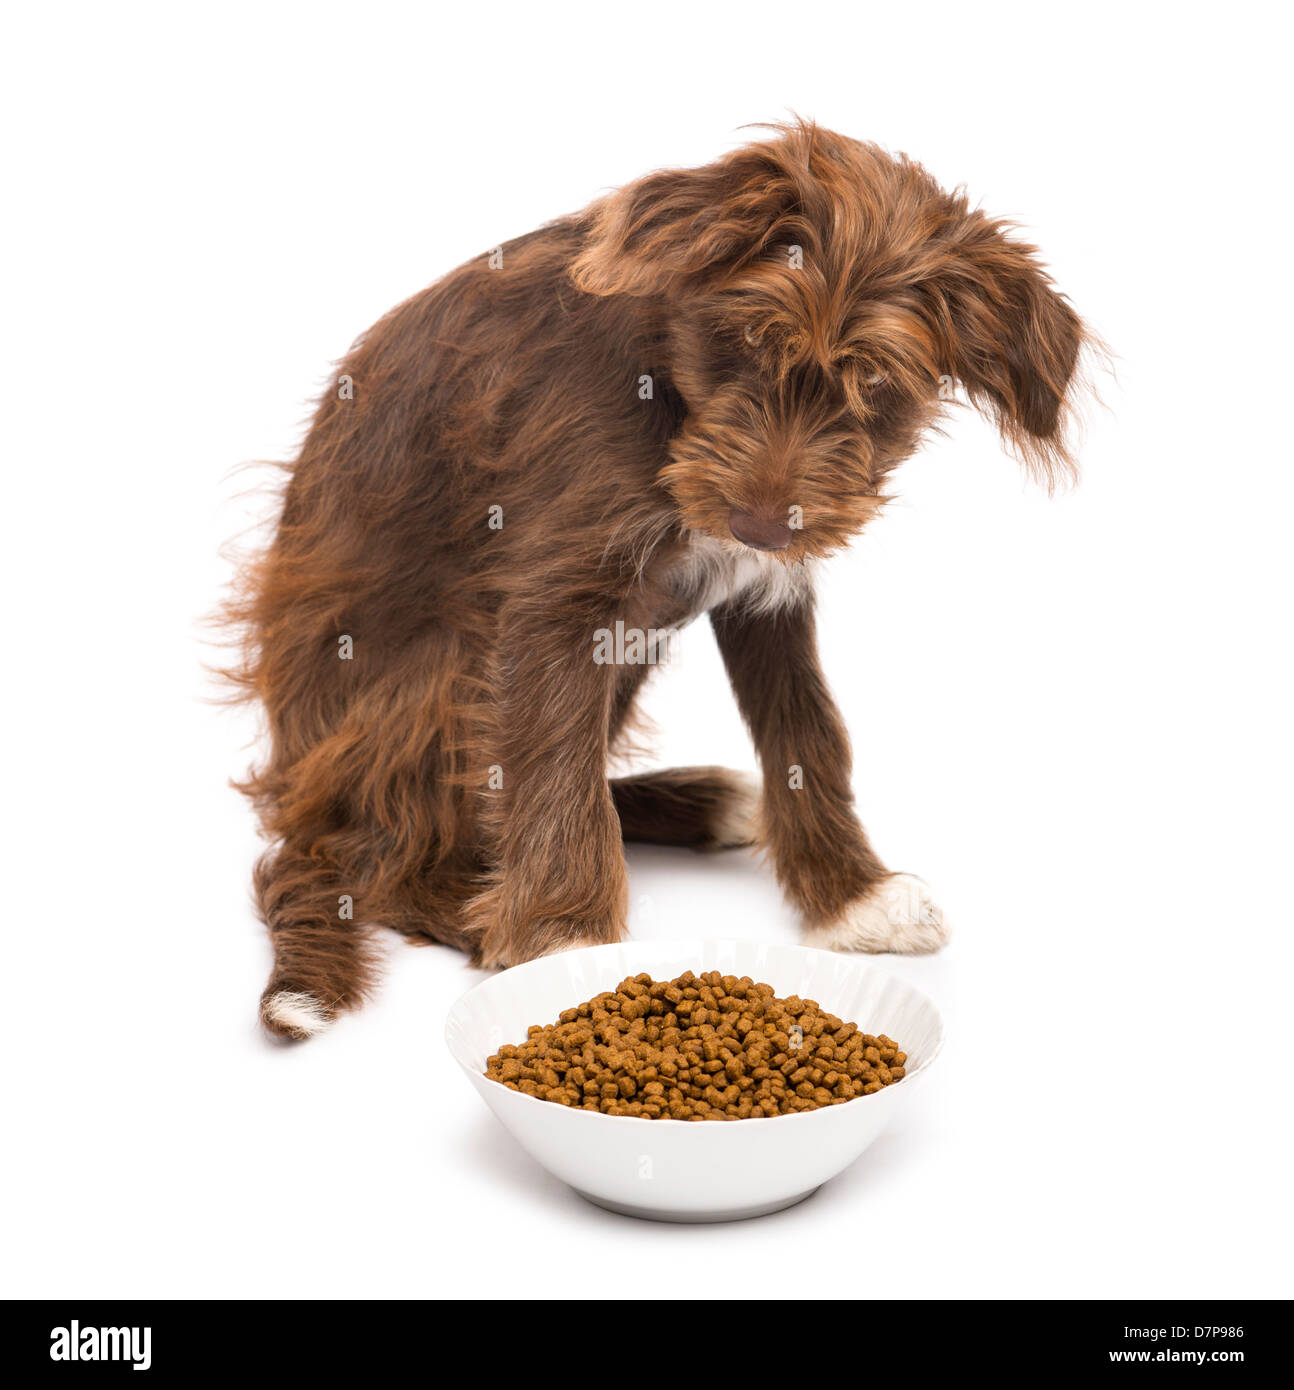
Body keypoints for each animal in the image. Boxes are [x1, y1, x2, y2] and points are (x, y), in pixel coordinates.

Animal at [225, 119, 1095, 1039]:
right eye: (745, 341)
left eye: (875, 381)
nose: (756, 523)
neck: (669, 389)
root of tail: (296, 794)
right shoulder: (553, 601)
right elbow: (554, 770)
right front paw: (563, 942)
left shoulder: (768, 592)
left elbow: (807, 730)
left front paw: (851, 896)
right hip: (441, 668)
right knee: (388, 855)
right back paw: (481, 906)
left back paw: (704, 802)